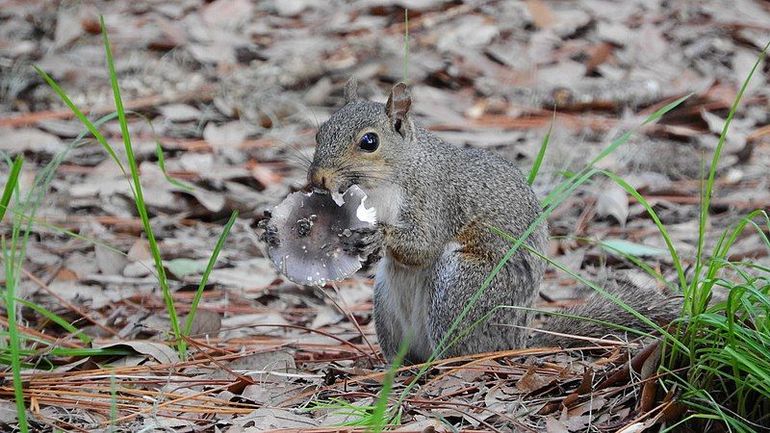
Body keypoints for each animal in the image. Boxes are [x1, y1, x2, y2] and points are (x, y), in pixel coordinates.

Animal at [280, 80, 680, 362]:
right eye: (319, 132)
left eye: (369, 142)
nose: (316, 180)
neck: (390, 178)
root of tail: (515, 342)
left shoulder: (436, 199)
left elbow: (424, 245)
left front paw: (380, 236)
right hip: (386, 305)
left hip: (463, 285)